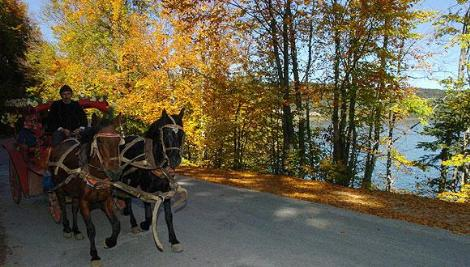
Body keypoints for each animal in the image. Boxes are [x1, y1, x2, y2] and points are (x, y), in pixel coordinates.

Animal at [48, 115, 123, 267]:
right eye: (99, 141)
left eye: (118, 141)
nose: (115, 173)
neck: (96, 175)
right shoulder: (85, 202)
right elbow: (91, 229)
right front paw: (94, 255)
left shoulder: (105, 200)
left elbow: (116, 224)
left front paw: (110, 241)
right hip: (60, 188)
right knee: (63, 206)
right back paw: (67, 228)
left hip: (74, 193)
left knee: (73, 208)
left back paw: (76, 230)